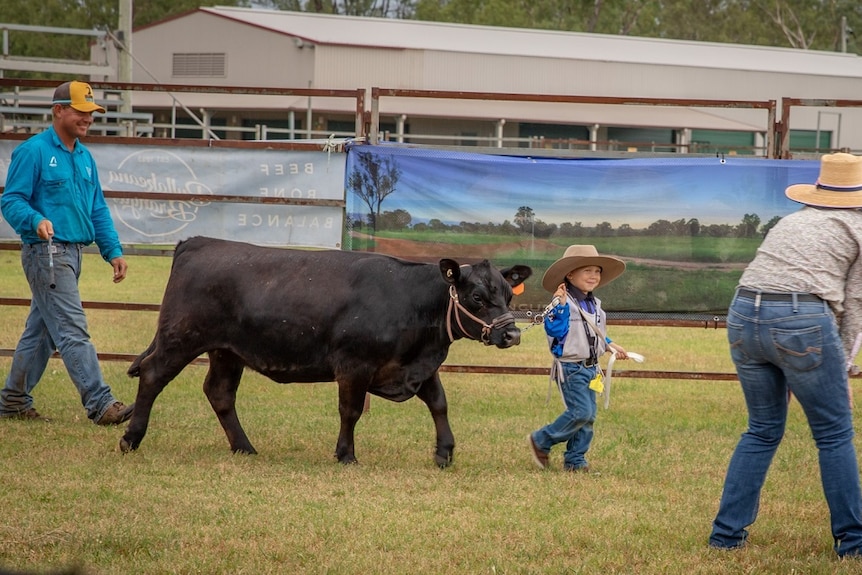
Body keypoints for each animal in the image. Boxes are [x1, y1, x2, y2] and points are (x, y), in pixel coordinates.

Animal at [123, 238, 532, 468]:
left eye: (508, 295)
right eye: (477, 297)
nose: (511, 333)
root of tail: (199, 242)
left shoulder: (418, 365)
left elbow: (439, 404)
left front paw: (444, 452)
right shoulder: (354, 365)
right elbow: (350, 411)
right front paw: (346, 454)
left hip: (227, 351)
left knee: (219, 393)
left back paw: (244, 448)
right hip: (180, 338)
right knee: (153, 375)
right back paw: (131, 438)